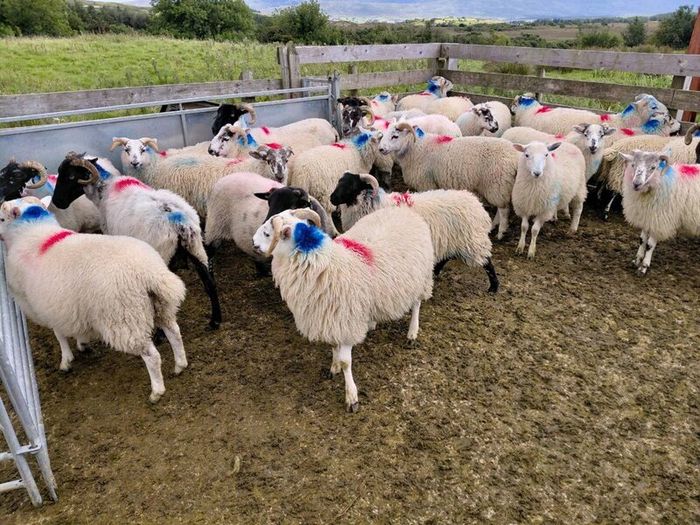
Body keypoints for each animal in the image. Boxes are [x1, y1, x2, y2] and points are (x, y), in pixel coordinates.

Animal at [0, 198, 187, 403]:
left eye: (1, 219)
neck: (31, 231)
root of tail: (148, 274)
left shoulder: (45, 306)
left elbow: (59, 334)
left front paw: (66, 360)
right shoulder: (68, 305)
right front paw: (82, 343)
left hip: (125, 319)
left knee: (151, 356)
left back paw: (156, 391)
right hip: (161, 306)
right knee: (174, 332)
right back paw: (180, 365)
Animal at [52, 153, 221, 329]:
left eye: (71, 176)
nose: (57, 202)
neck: (104, 188)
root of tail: (179, 222)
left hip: (162, 255)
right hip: (196, 247)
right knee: (210, 283)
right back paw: (215, 320)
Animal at [252, 206, 434, 412]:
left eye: (267, 233)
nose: (253, 242)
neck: (321, 265)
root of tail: (404, 210)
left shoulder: (345, 320)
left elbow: (347, 363)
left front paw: (351, 397)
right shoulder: (329, 319)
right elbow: (333, 347)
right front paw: (334, 367)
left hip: (421, 278)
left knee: (417, 305)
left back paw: (412, 333)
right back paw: (372, 323)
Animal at [329, 172, 498, 292]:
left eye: (351, 186)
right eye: (339, 182)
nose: (332, 199)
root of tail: (477, 205)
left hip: (472, 240)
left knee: (487, 262)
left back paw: (493, 287)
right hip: (454, 240)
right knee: (448, 256)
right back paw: (436, 271)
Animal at [377, 121, 519, 240]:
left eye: (395, 136)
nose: (380, 149)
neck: (415, 148)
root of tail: (515, 157)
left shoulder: (426, 183)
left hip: (497, 183)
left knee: (504, 210)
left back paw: (501, 233)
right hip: (499, 186)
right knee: (501, 208)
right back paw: (494, 226)